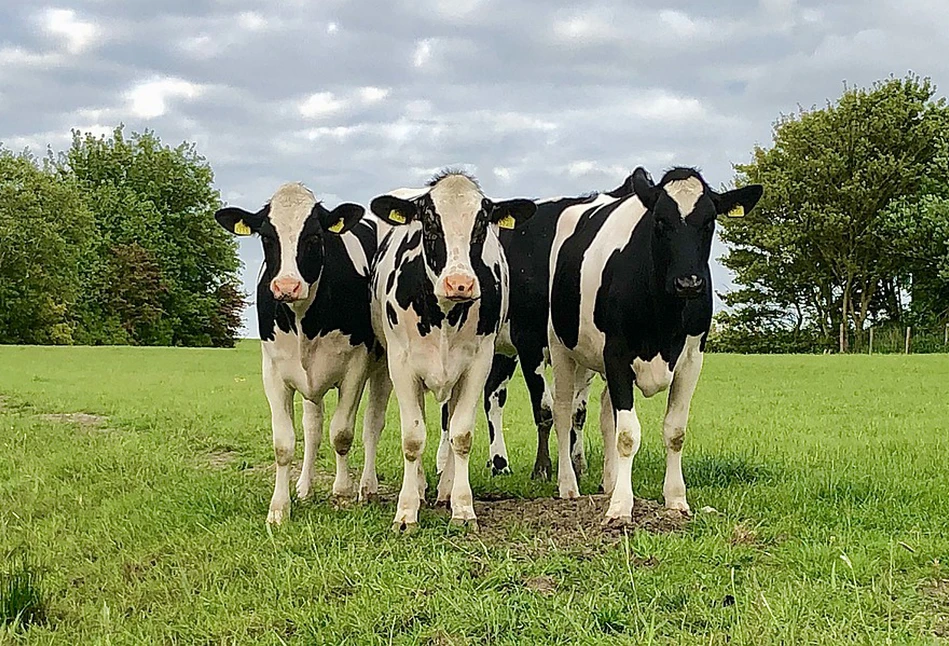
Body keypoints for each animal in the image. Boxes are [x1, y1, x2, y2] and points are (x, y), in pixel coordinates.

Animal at [214, 182, 388, 528]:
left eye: (314, 237)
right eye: (268, 238)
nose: (286, 286)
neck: (304, 321)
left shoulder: (355, 368)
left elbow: (342, 434)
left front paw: (342, 496)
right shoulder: (273, 372)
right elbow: (285, 443)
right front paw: (279, 509)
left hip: (385, 368)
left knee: (372, 426)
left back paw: (368, 488)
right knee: (313, 428)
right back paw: (305, 488)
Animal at [368, 171, 536, 532]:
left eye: (481, 223)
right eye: (430, 221)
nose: (459, 283)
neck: (444, 313)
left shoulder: (478, 364)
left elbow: (461, 434)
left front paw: (462, 507)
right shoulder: (401, 365)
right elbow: (413, 437)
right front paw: (406, 511)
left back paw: (444, 489)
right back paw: (419, 487)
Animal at [544, 167, 760, 528]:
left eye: (709, 221)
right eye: (660, 221)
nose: (689, 282)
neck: (664, 320)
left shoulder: (692, 359)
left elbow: (674, 431)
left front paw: (676, 500)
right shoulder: (617, 355)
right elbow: (628, 435)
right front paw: (620, 507)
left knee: (606, 412)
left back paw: (610, 482)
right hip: (561, 346)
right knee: (563, 411)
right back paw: (568, 486)